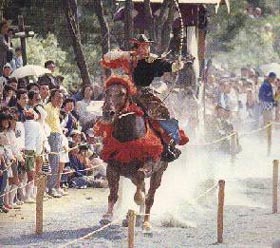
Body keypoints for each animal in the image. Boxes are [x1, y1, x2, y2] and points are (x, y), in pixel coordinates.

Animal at [95, 76, 172, 232]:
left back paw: (145, 222)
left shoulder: (148, 165)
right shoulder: (112, 168)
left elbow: (142, 186)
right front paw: (107, 216)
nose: (108, 112)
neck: (128, 137)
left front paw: (138, 199)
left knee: (150, 196)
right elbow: (113, 193)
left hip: (159, 173)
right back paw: (137, 218)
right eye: (106, 92)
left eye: (122, 93)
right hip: (131, 176)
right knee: (143, 188)